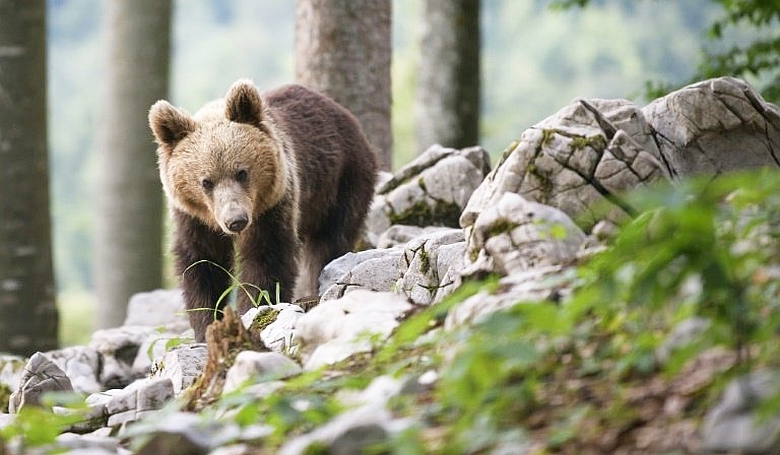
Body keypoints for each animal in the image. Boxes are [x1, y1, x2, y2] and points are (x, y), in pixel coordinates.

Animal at [149, 80, 378, 342]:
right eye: (206, 182)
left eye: (242, 172)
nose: (236, 220)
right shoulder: (194, 219)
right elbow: (202, 263)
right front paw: (206, 324)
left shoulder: (273, 206)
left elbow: (266, 257)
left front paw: (254, 309)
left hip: (342, 181)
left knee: (330, 241)